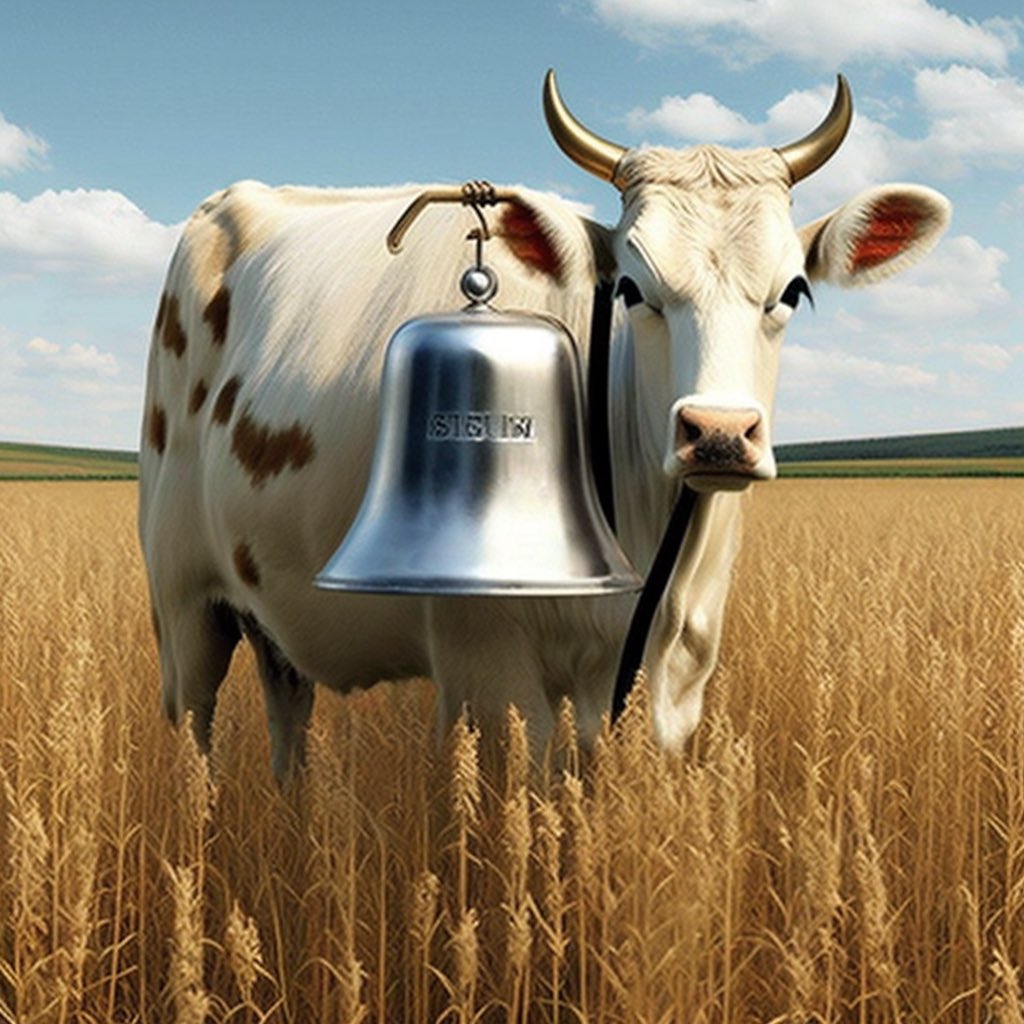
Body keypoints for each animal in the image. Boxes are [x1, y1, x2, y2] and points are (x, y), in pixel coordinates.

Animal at [139, 72, 950, 780]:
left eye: (794, 289)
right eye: (631, 288)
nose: (719, 432)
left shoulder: (673, 679)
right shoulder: (486, 672)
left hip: (272, 622)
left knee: (288, 719)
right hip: (183, 609)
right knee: (193, 739)